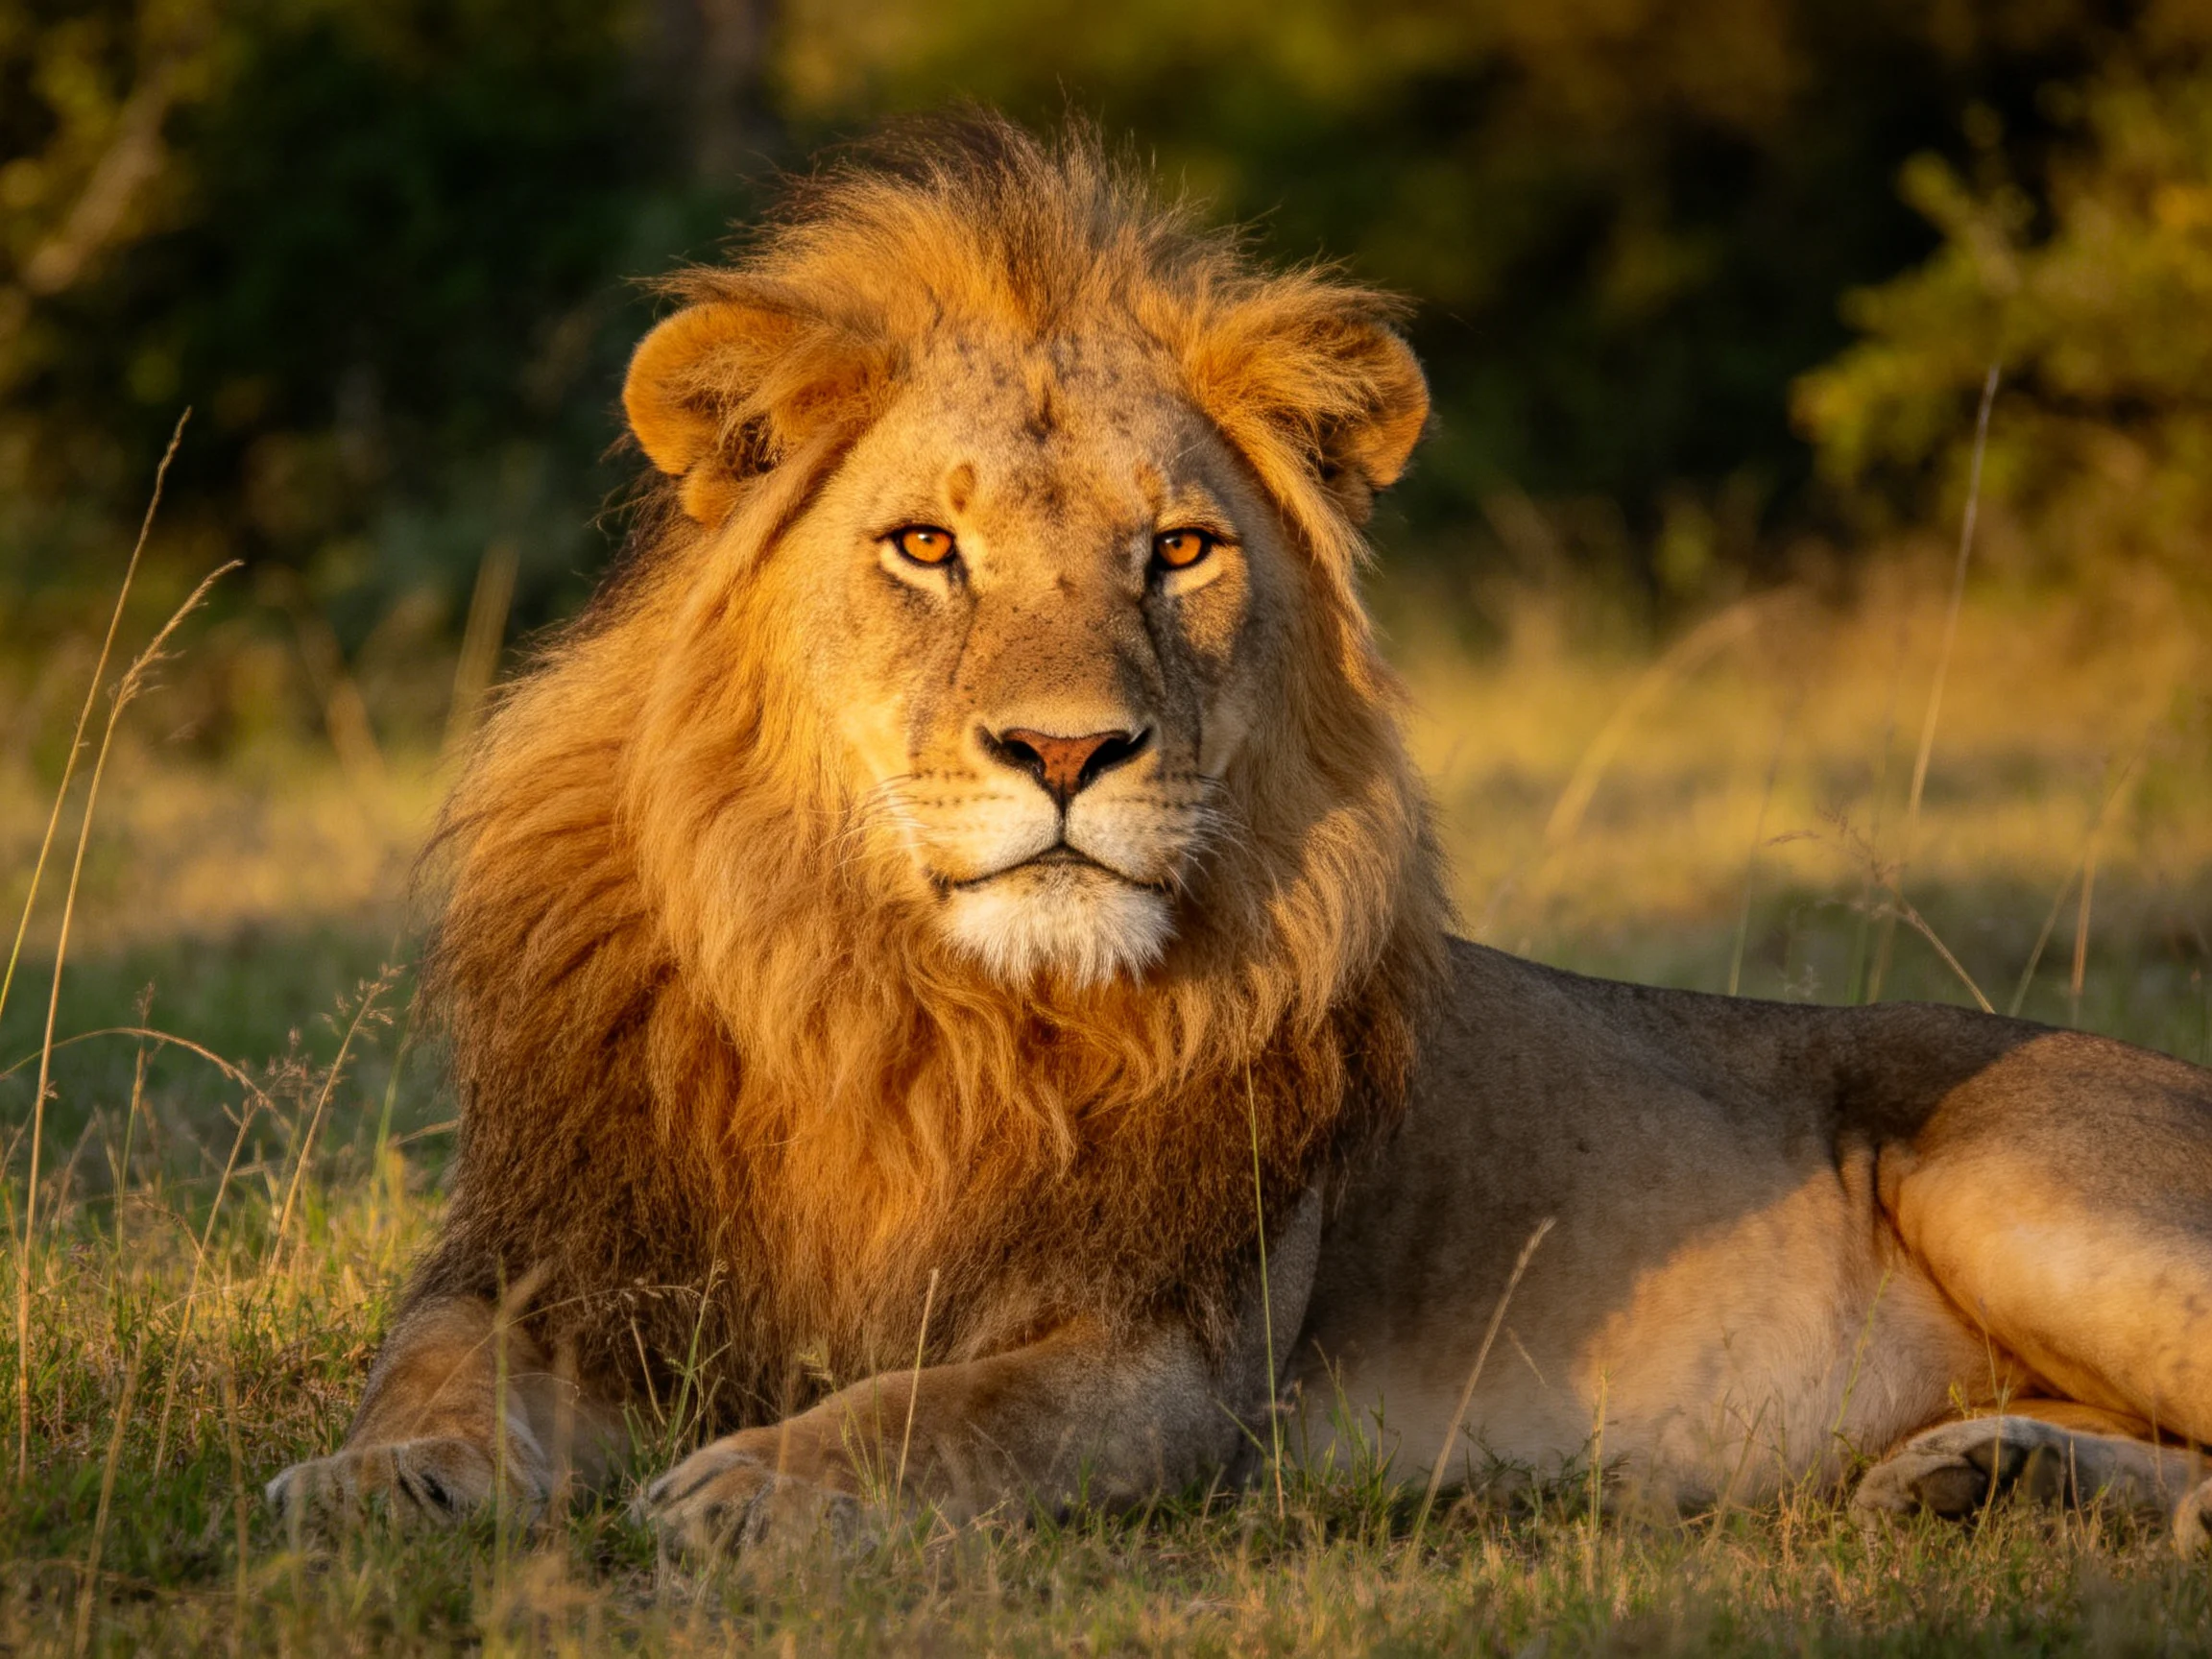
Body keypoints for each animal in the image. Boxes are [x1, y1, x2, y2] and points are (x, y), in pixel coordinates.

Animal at [269, 119, 2212, 1556]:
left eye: (1180, 551)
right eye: (925, 548)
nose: (1067, 748)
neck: (908, 1005)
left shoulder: (1164, 1358)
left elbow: (942, 1416)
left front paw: (756, 1484)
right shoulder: (554, 1247)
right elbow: (428, 1371)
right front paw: (370, 1485)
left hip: (2021, 1184)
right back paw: (1981, 1475)